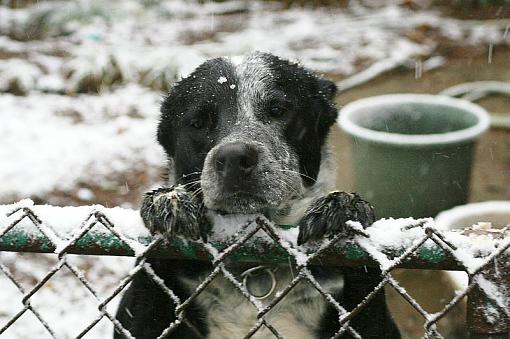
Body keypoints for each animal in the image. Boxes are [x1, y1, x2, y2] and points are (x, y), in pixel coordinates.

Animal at [114, 51, 398, 338]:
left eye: (278, 110)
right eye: (197, 123)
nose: (234, 157)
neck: (256, 267)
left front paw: (342, 207)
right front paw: (170, 200)